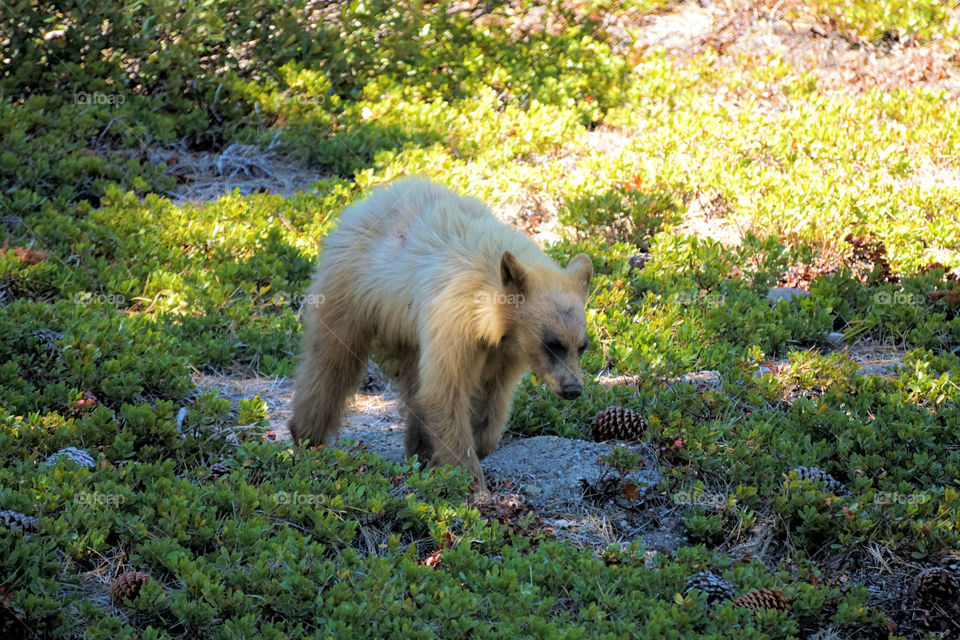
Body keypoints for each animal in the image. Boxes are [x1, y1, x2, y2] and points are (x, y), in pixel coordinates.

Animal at [289, 177, 593, 491]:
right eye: (552, 344)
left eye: (582, 346)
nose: (573, 389)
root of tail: (364, 202)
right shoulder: (454, 320)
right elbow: (445, 392)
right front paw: (469, 479)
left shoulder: (507, 349)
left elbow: (493, 395)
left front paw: (478, 445)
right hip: (351, 288)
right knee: (332, 361)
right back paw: (307, 434)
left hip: (405, 329)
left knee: (411, 378)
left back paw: (419, 450)